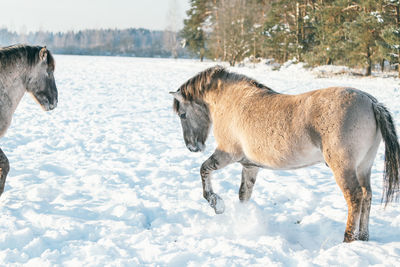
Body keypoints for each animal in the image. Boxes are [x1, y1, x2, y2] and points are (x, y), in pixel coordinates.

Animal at [172, 66, 400, 243]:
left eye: (183, 114)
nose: (192, 147)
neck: (233, 102)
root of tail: (371, 102)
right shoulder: (249, 165)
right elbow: (244, 194)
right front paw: (243, 221)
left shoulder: (227, 154)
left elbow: (204, 170)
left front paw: (216, 204)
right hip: (363, 166)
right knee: (367, 195)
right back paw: (363, 238)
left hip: (343, 167)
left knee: (355, 197)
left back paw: (347, 239)